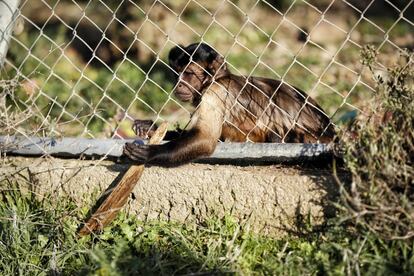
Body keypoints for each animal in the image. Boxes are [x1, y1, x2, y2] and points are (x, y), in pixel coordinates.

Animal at [123, 42, 336, 165]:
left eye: (189, 74)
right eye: (178, 74)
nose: (179, 83)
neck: (216, 79)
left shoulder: (216, 93)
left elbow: (205, 139)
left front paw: (151, 152)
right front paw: (150, 128)